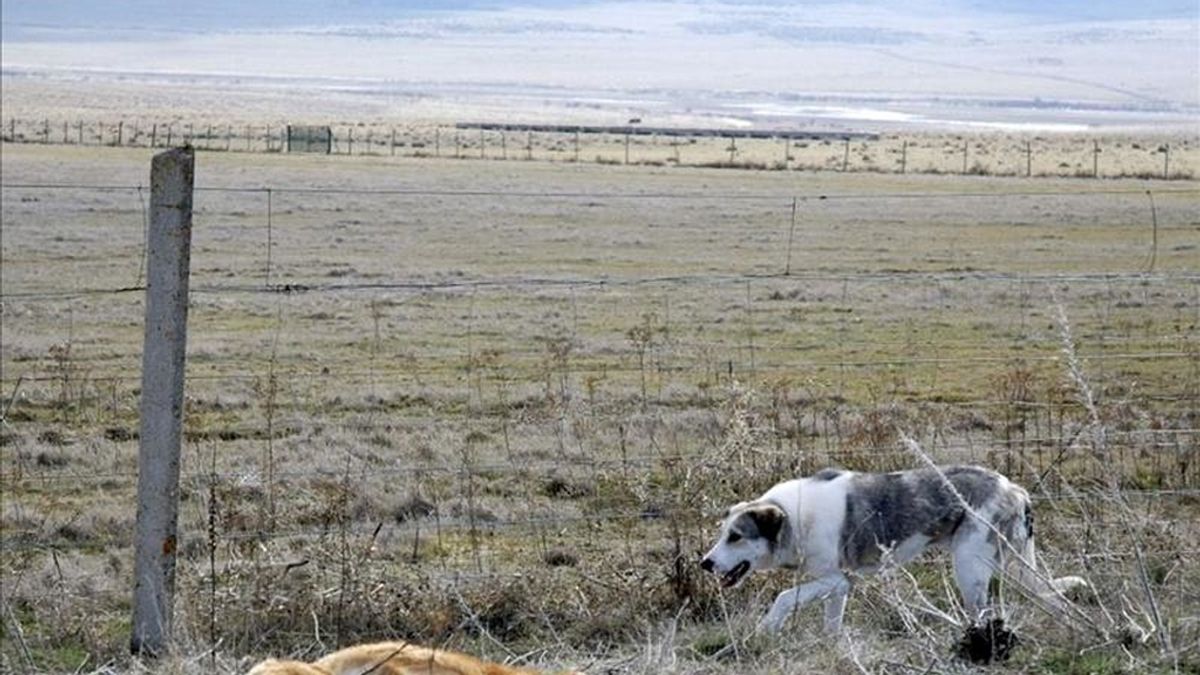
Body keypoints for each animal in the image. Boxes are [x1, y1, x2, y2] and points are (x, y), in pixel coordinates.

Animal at [700, 461, 1089, 629]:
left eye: (736, 536)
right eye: (722, 534)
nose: (705, 564)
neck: (794, 519)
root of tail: (1015, 489)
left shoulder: (835, 580)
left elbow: (782, 598)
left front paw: (767, 629)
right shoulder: (837, 586)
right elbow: (832, 627)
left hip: (969, 569)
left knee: (983, 614)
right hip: (1011, 566)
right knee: (1054, 602)